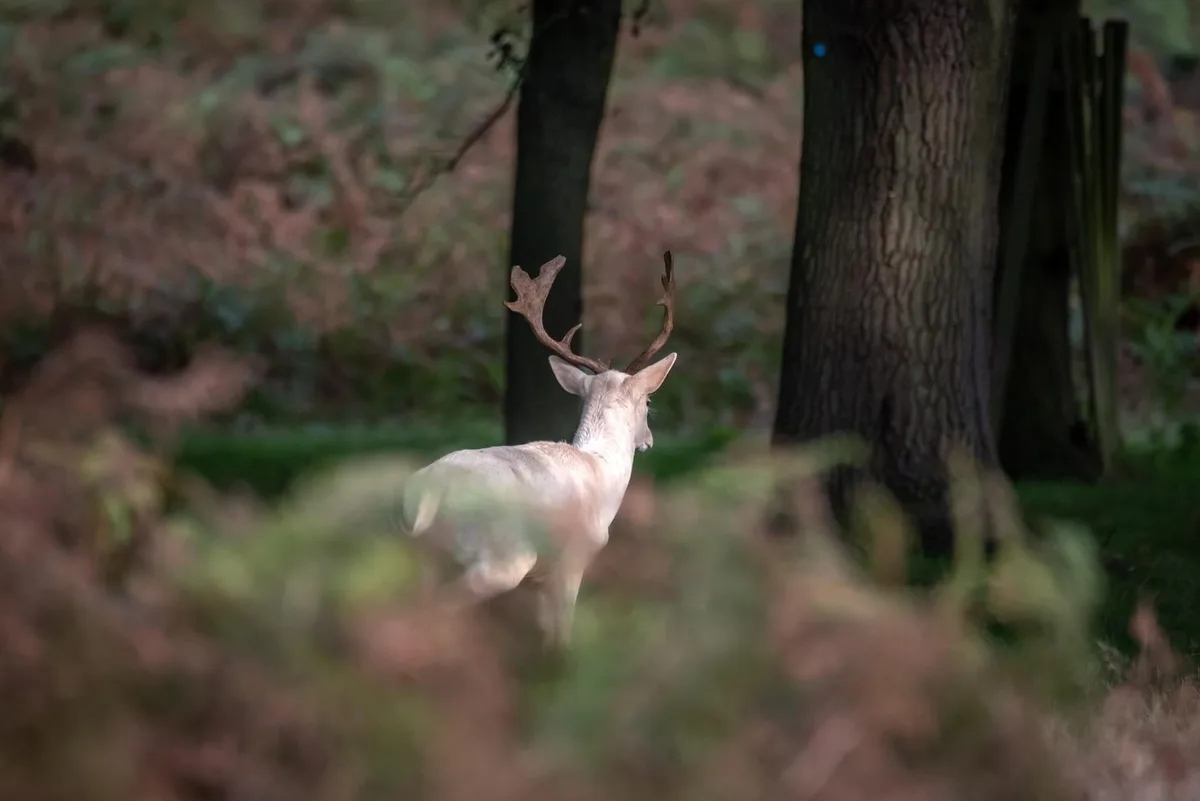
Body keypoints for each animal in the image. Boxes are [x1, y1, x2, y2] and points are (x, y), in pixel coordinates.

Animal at [401, 252, 677, 648]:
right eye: (649, 402)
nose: (649, 440)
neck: (602, 470)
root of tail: (430, 488)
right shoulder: (572, 559)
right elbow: (562, 633)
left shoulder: (541, 579)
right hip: (504, 555)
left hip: (425, 556)